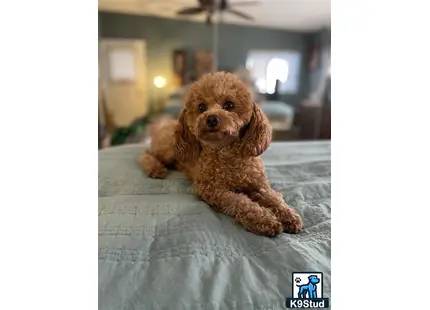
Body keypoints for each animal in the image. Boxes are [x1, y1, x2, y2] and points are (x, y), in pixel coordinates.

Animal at [139, 72, 304, 237]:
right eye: (201, 107)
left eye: (229, 105)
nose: (211, 118)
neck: (227, 155)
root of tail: (164, 125)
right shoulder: (213, 190)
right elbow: (239, 201)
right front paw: (263, 219)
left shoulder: (259, 185)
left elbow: (273, 197)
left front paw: (288, 215)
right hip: (168, 151)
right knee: (145, 155)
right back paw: (155, 168)